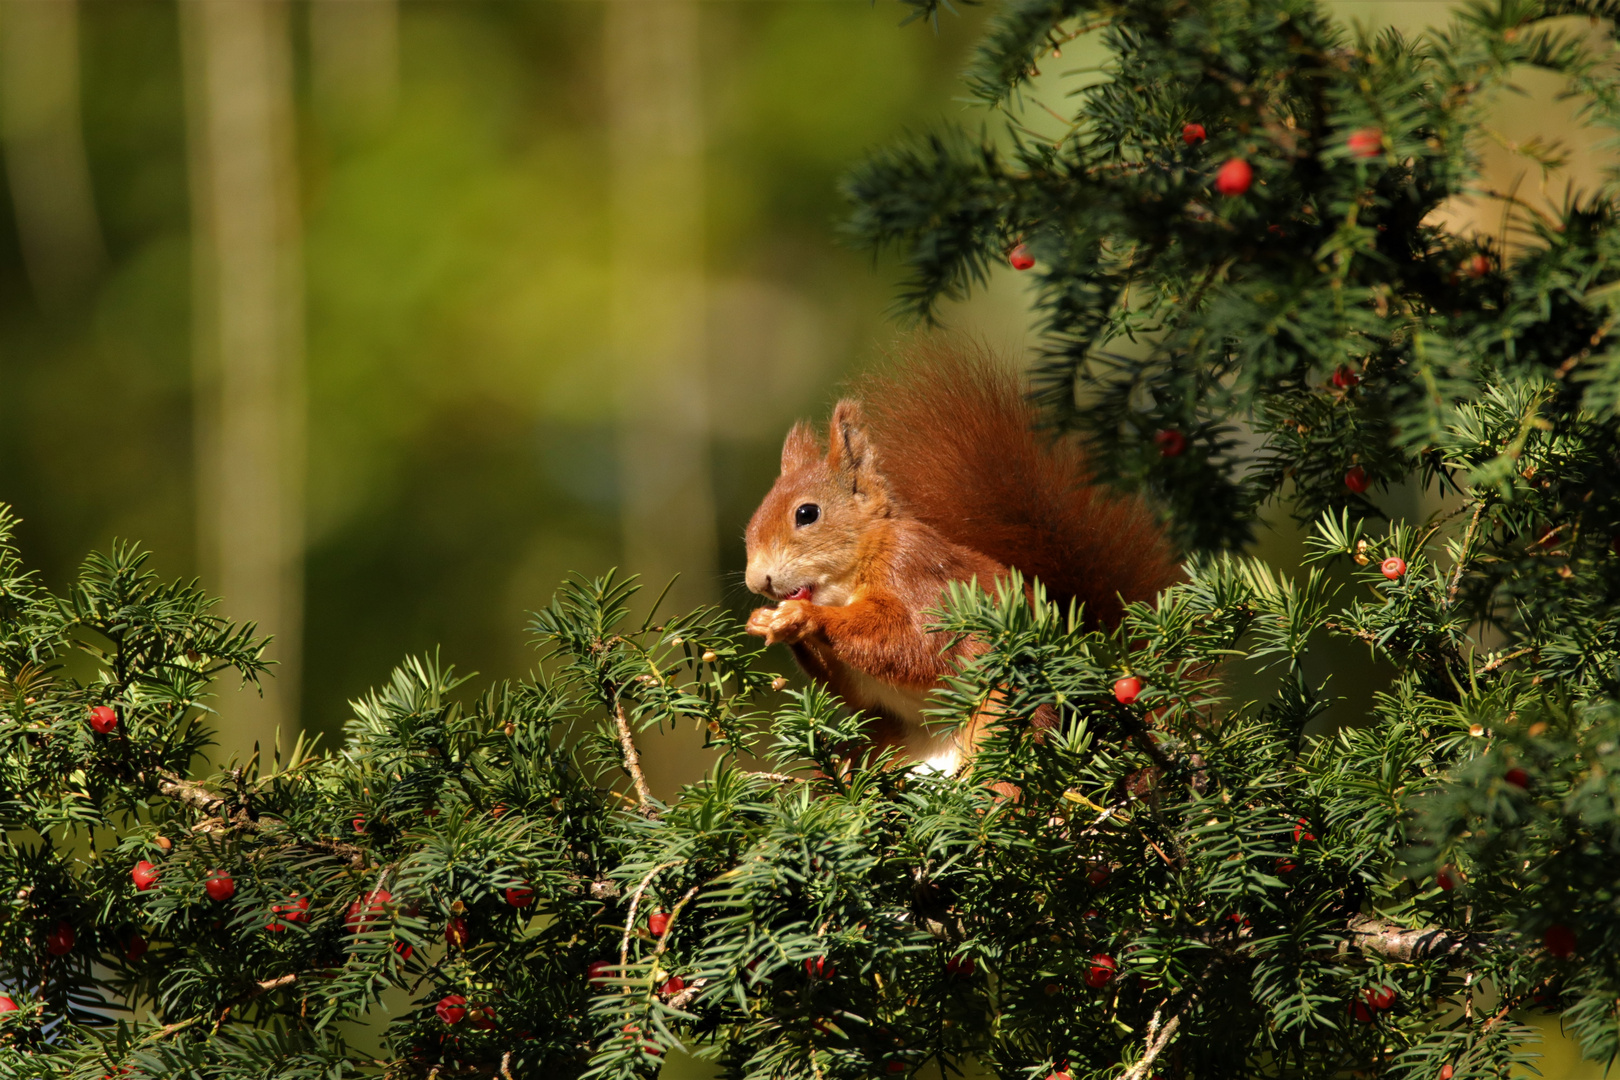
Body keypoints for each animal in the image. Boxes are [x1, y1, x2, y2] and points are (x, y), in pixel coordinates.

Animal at [741, 341, 1179, 773]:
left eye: (807, 513)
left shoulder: (915, 571)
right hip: (884, 738)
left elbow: (914, 643)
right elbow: (856, 692)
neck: (853, 575)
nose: (756, 581)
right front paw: (762, 621)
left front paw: (804, 617)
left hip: (1001, 716)